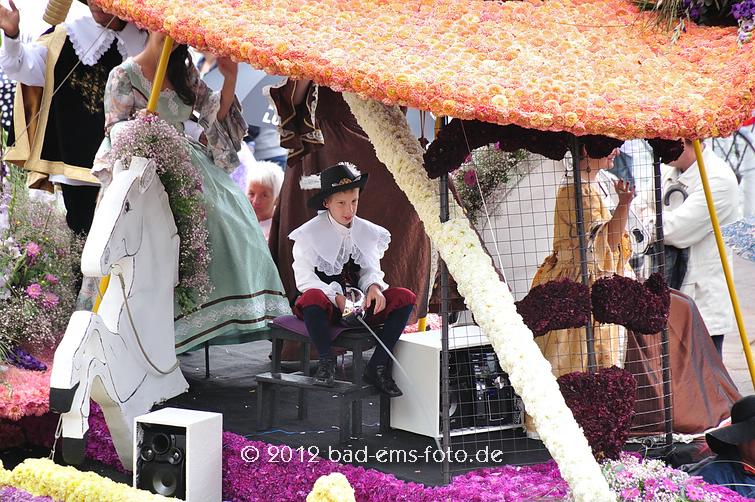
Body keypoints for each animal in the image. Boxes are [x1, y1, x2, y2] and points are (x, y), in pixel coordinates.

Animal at [50, 157, 188, 468]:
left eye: (126, 206)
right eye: (102, 200)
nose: (92, 261)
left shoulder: (123, 374)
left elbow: (91, 342)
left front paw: (73, 429)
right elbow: (84, 328)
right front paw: (63, 391)